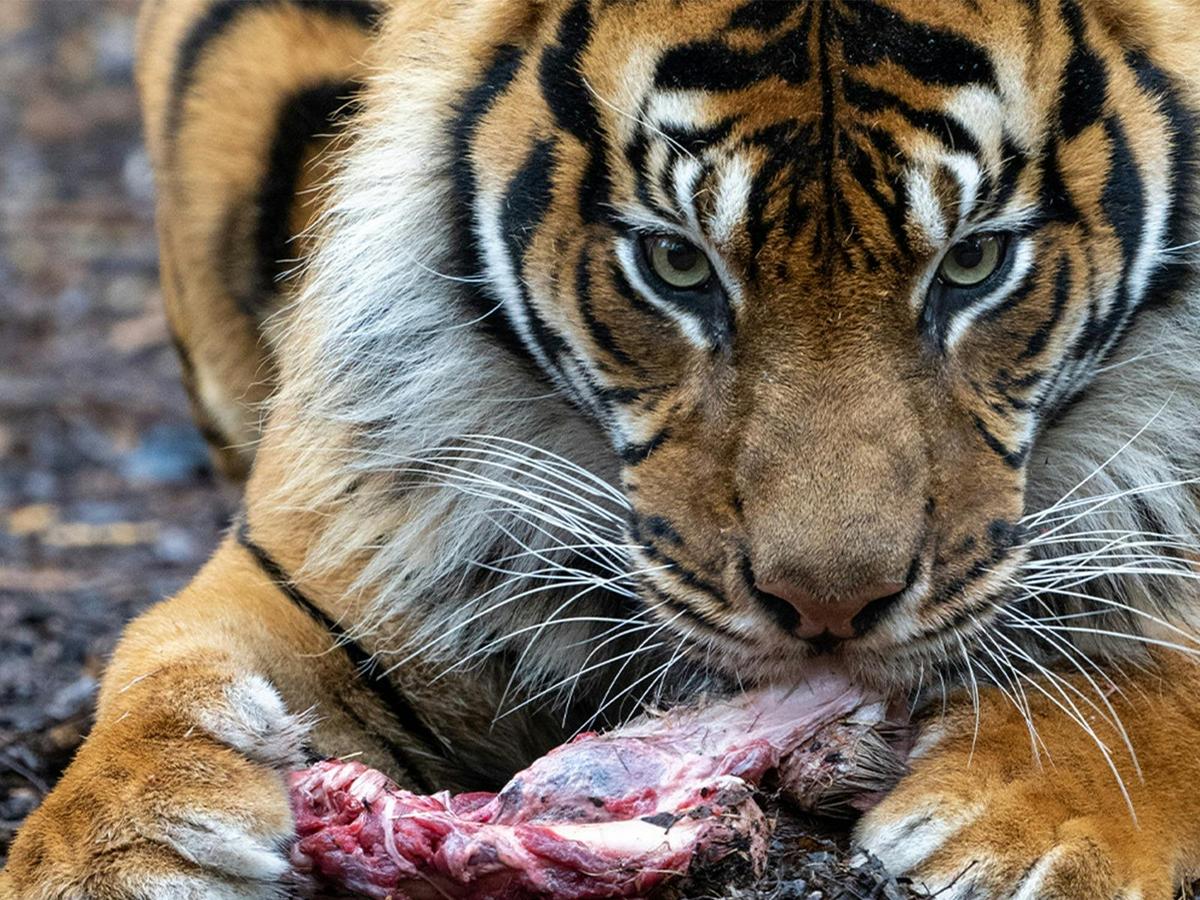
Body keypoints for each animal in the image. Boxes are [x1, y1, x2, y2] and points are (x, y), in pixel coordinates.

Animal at [4, 0, 1200, 897]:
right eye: (676, 264)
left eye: (975, 262)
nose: (829, 615)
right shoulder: (338, 557)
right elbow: (160, 660)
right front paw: (119, 847)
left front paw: (1031, 820)